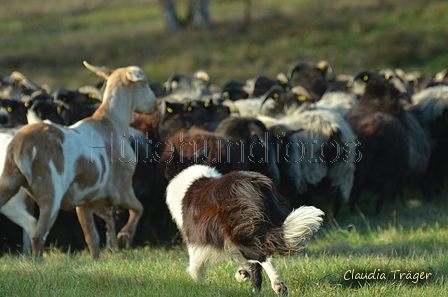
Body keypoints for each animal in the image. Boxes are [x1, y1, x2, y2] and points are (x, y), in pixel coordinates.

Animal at [0, 61, 158, 260]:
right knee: (38, 234)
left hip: (9, 181)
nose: (154, 105)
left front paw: (96, 261)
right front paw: (124, 237)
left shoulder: (85, 202)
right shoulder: (122, 190)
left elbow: (92, 237)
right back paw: (38, 263)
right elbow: (139, 208)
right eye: (144, 82)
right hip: (50, 192)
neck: (110, 123)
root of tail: (20, 147)